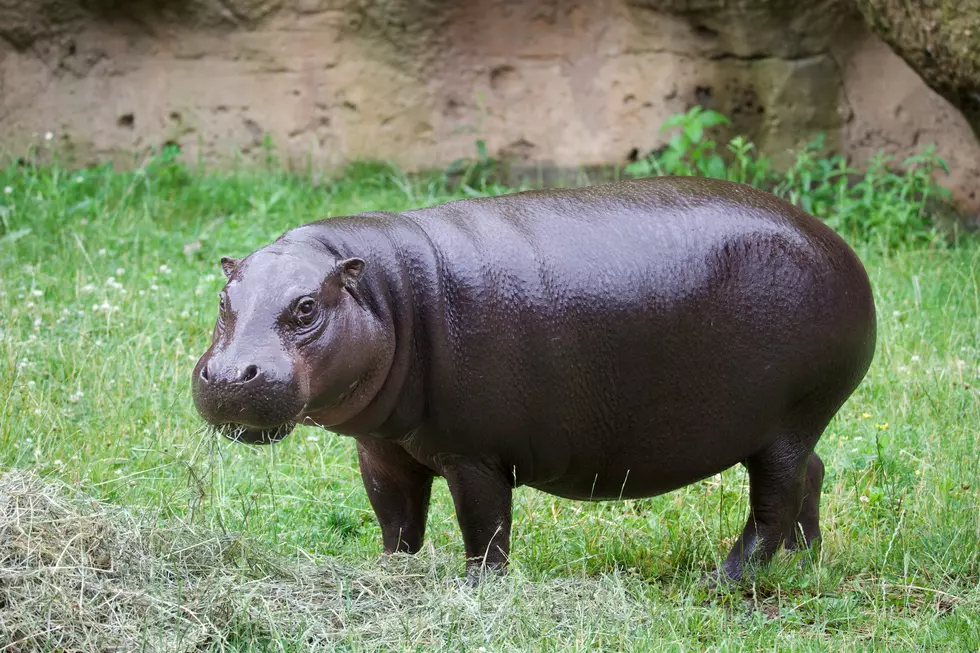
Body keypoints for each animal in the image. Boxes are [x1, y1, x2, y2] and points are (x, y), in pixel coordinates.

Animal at [192, 176, 876, 584]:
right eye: (224, 297)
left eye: (307, 308)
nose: (229, 375)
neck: (389, 294)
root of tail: (842, 249)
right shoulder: (382, 449)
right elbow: (396, 520)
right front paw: (388, 577)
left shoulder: (476, 457)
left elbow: (485, 529)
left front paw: (475, 590)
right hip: (786, 428)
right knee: (811, 477)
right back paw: (806, 563)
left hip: (789, 421)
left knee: (771, 508)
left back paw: (724, 579)